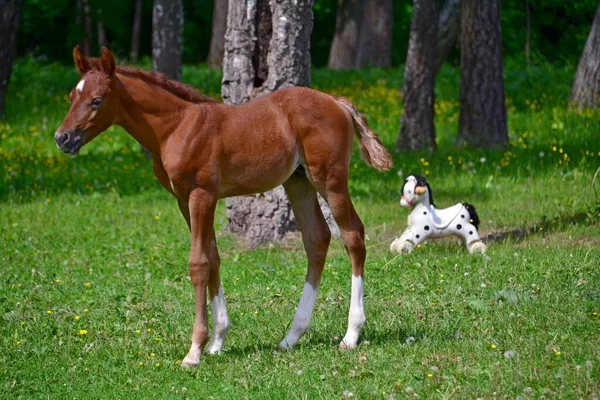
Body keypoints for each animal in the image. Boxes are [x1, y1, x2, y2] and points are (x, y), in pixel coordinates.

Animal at [56, 47, 394, 366]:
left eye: (97, 100)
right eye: (72, 96)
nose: (63, 138)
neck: (177, 127)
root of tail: (337, 101)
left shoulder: (201, 196)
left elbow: (198, 264)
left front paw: (195, 350)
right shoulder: (183, 200)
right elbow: (214, 258)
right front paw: (218, 341)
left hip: (329, 180)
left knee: (353, 236)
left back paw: (351, 334)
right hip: (298, 182)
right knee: (317, 239)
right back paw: (291, 336)